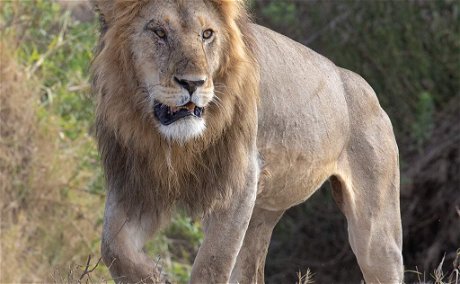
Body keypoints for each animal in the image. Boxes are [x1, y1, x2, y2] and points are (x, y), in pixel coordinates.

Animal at [90, 1, 402, 282]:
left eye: (207, 34)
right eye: (159, 32)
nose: (193, 83)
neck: (175, 143)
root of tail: (369, 91)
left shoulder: (239, 183)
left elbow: (211, 266)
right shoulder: (137, 182)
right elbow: (114, 249)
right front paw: (155, 276)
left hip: (376, 232)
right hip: (263, 213)